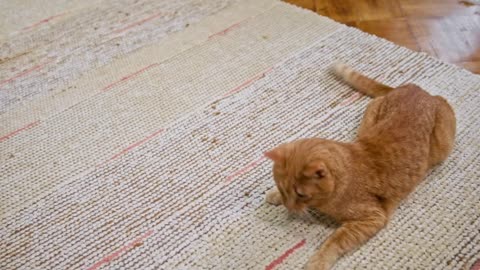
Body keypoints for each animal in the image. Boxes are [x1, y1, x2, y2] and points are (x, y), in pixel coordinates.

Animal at [264, 63, 456, 270]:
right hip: (368, 121)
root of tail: (416, 89)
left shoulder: (372, 218)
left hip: (442, 144)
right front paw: (275, 196)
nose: (289, 206)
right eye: (283, 189)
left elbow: (336, 240)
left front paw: (319, 261)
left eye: (301, 194)